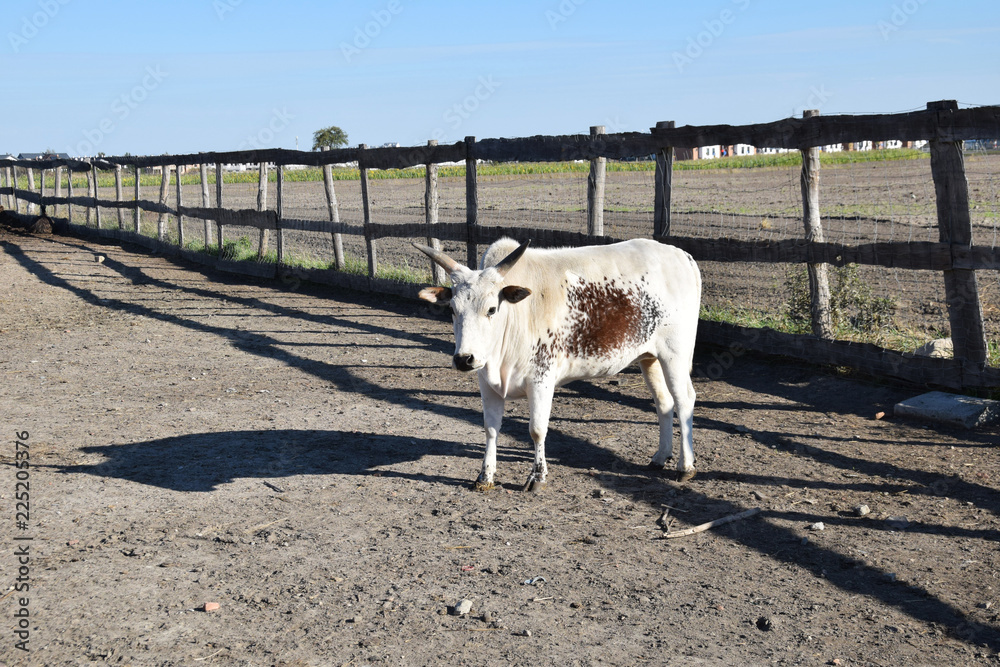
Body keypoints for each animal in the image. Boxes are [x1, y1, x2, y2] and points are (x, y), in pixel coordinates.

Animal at [414, 237, 702, 492]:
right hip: (649, 357)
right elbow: (491, 428)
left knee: (684, 400)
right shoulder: (486, 381)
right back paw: (660, 457)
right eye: (452, 309)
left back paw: (685, 466)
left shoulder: (541, 379)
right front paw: (485, 476)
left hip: (675, 353)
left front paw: (537, 476)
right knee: (663, 402)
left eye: (492, 309)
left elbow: (537, 430)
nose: (464, 359)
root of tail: (682, 256)